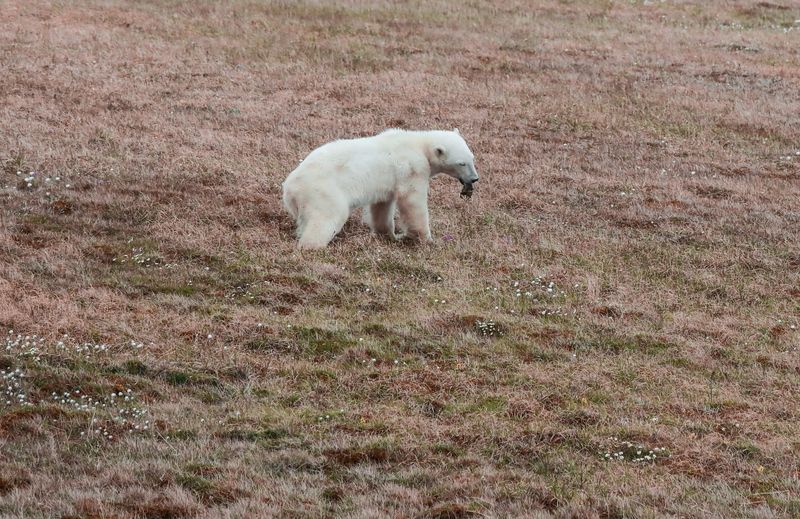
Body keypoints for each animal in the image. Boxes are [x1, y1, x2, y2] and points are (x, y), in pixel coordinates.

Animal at [282, 130, 478, 252]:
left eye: (472, 158)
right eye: (461, 163)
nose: (474, 179)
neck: (419, 143)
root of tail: (290, 188)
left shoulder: (387, 182)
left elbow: (382, 206)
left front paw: (389, 235)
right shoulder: (412, 167)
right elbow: (412, 201)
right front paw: (425, 239)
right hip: (323, 190)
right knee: (327, 216)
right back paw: (314, 246)